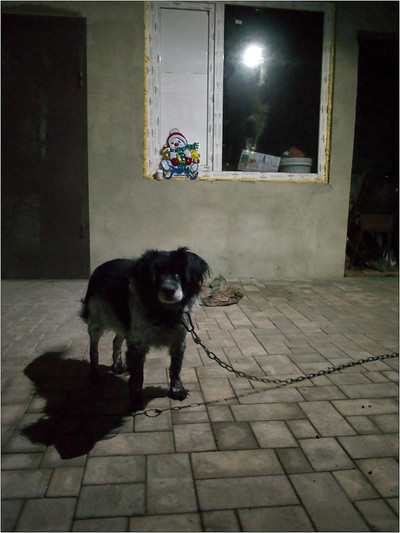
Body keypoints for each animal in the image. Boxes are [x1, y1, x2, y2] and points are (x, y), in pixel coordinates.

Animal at [80, 247, 210, 401]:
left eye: (178, 273)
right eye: (157, 275)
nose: (169, 291)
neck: (164, 311)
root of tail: (101, 267)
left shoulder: (179, 339)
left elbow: (176, 368)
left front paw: (177, 390)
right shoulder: (137, 342)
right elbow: (137, 374)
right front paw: (136, 397)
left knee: (116, 341)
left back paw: (117, 366)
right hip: (96, 322)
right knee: (94, 349)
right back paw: (94, 374)